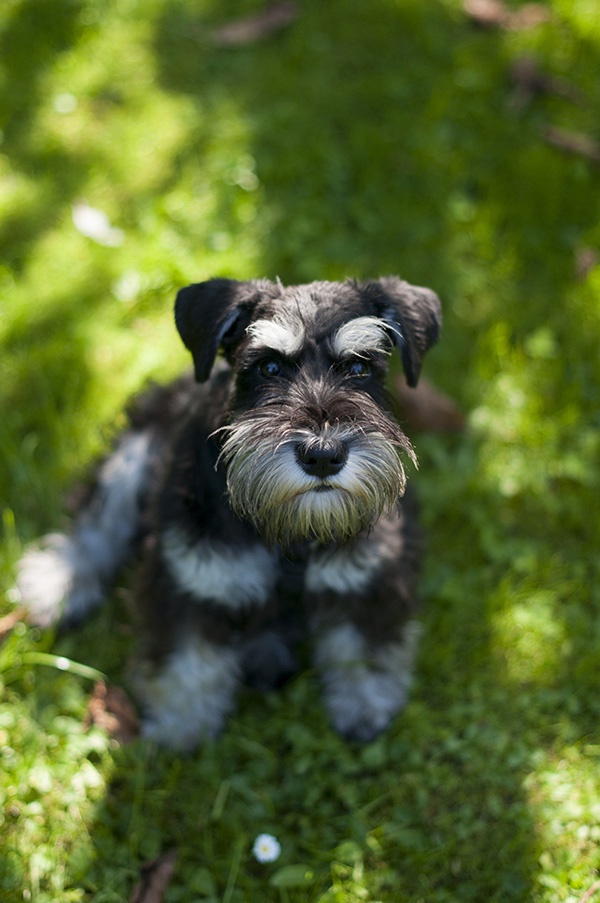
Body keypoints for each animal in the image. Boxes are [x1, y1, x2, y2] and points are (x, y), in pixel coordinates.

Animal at [17, 278, 440, 752]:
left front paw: (366, 707)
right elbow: (188, 662)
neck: (290, 537)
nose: (323, 455)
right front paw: (180, 725)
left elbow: (364, 649)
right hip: (136, 449)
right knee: (99, 520)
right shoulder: (189, 578)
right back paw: (60, 581)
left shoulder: (373, 577)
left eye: (358, 367)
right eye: (269, 367)